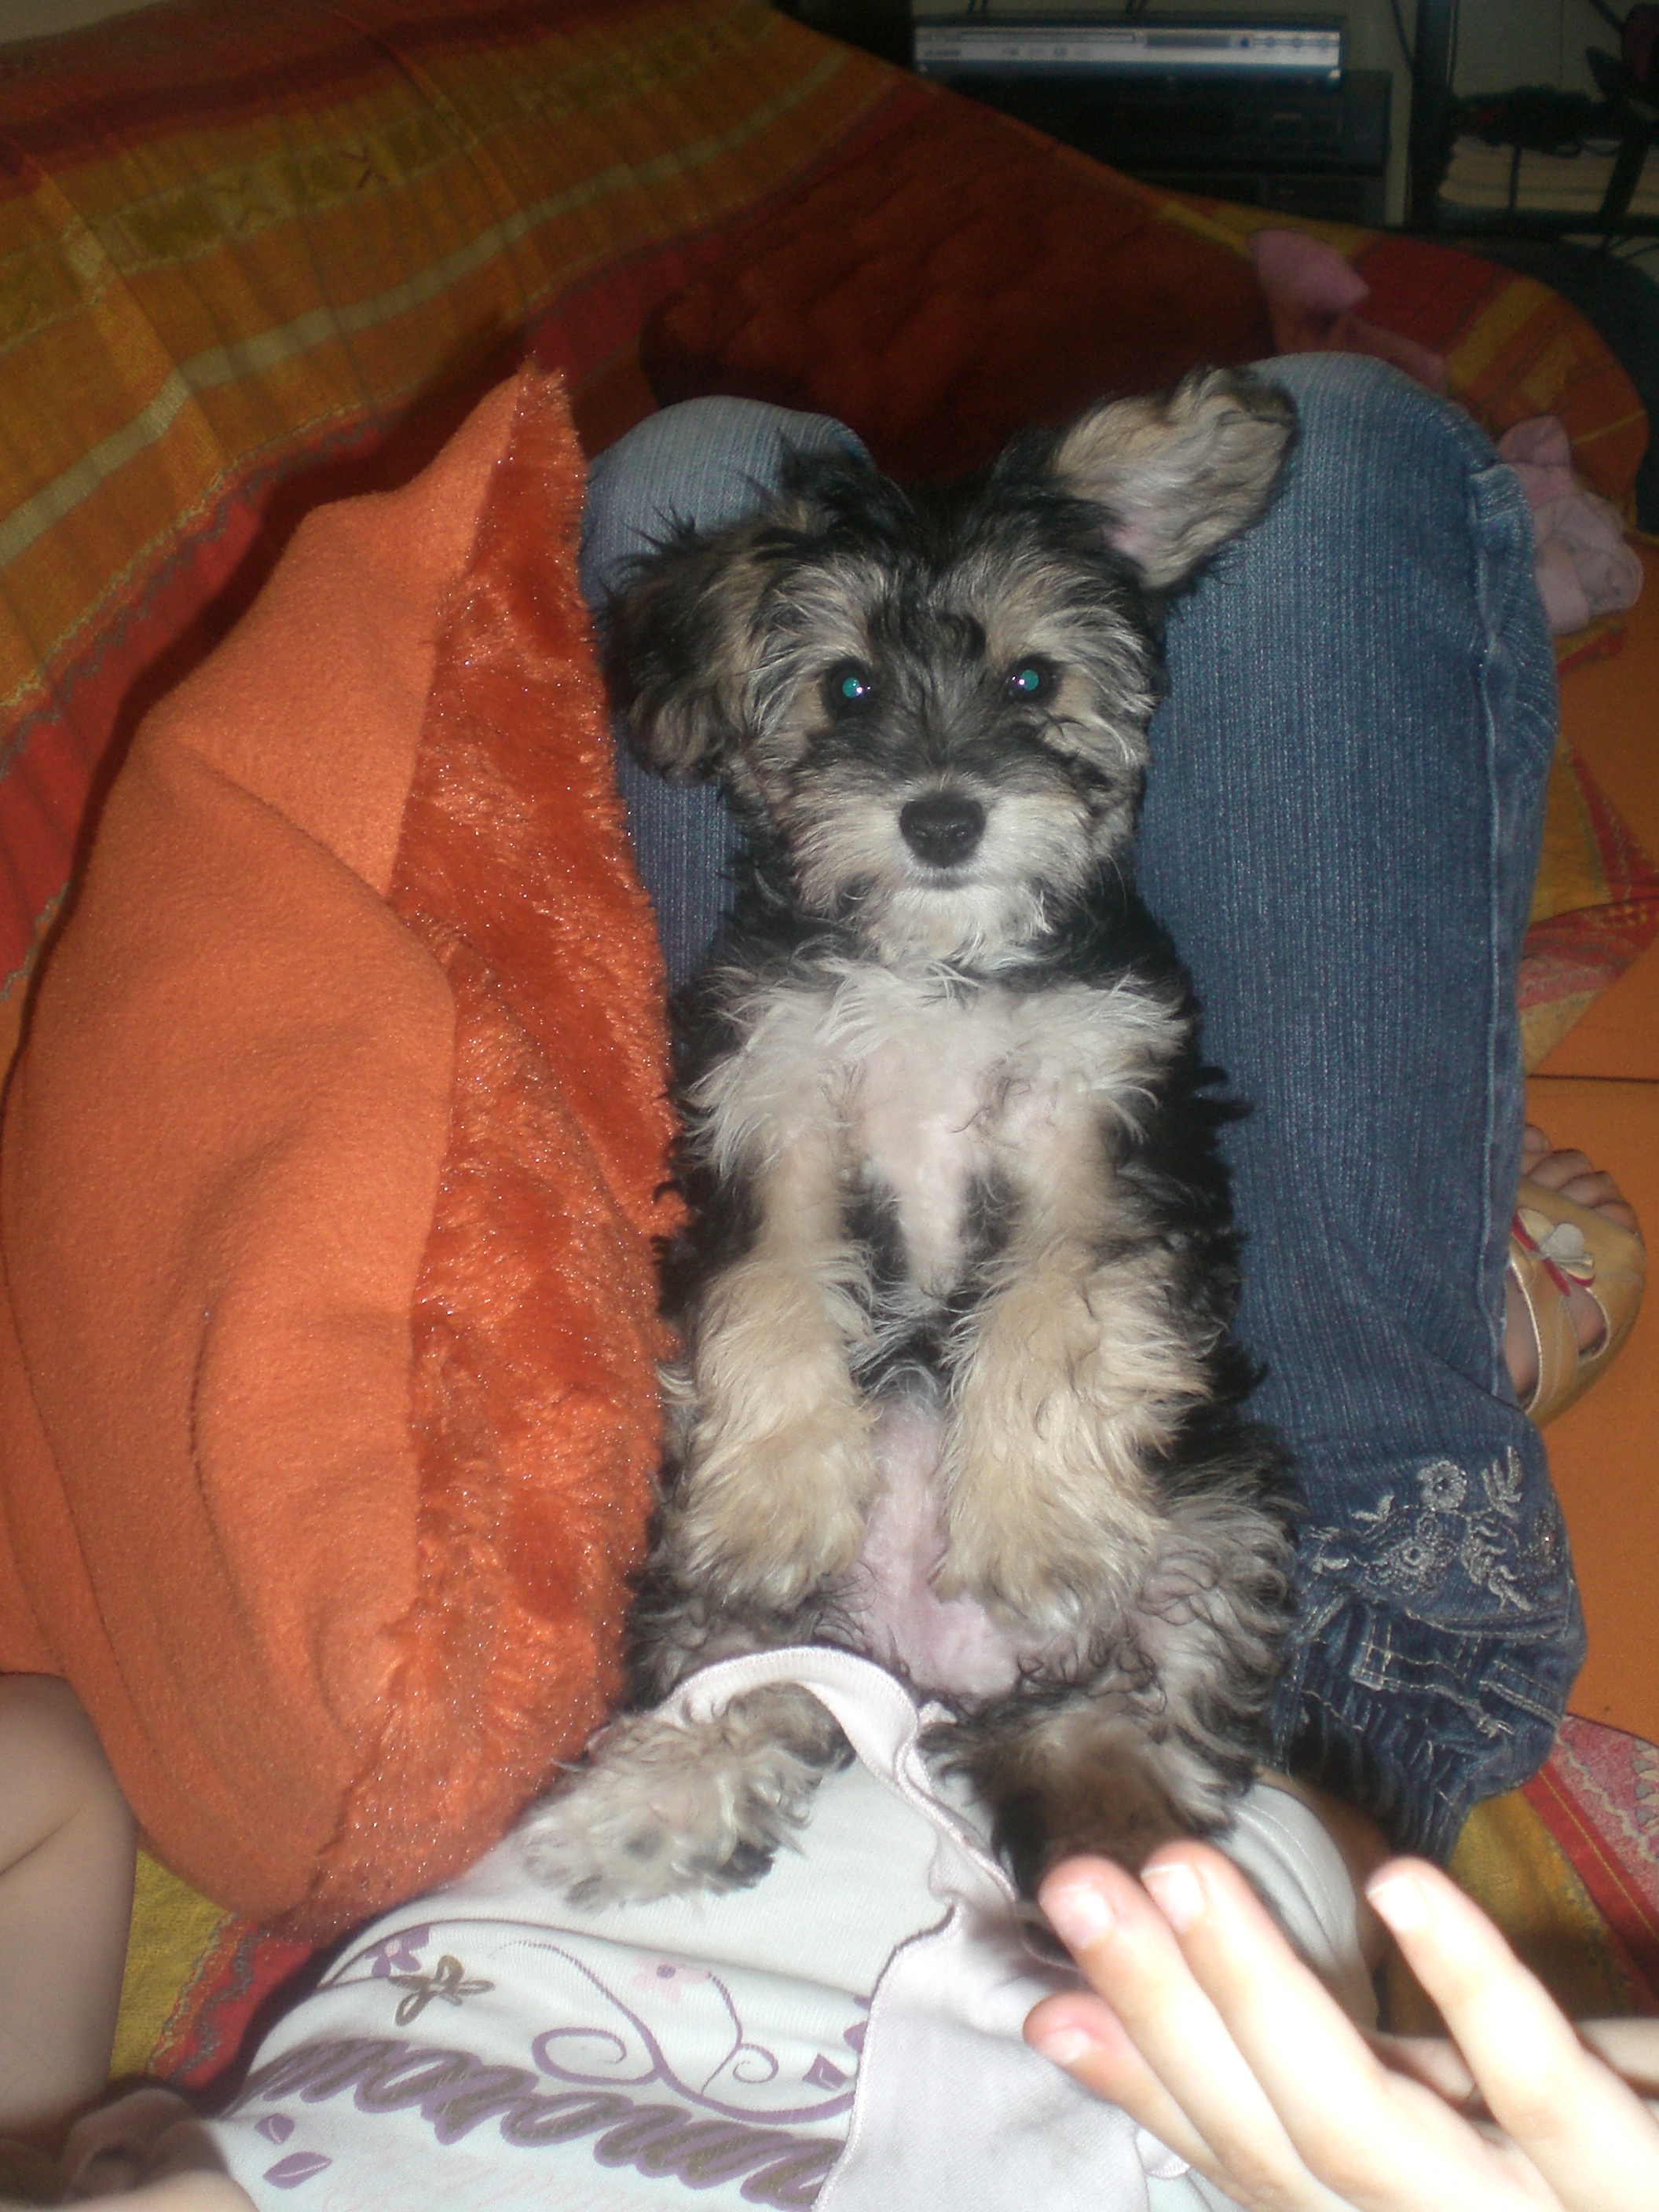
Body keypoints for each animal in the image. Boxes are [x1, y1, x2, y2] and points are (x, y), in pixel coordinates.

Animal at [521, 365, 1300, 1906]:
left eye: (1029, 681)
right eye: (849, 688)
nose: (941, 817)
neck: (933, 961)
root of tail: (949, 1677)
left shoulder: (1102, 1119)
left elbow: (1052, 1307)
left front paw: (1035, 1525)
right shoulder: (768, 1108)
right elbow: (769, 1293)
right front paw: (772, 1497)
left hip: (1214, 1525)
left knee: (1134, 1710)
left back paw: (1140, 1864)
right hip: (721, 1610)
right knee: (755, 1681)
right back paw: (647, 1801)